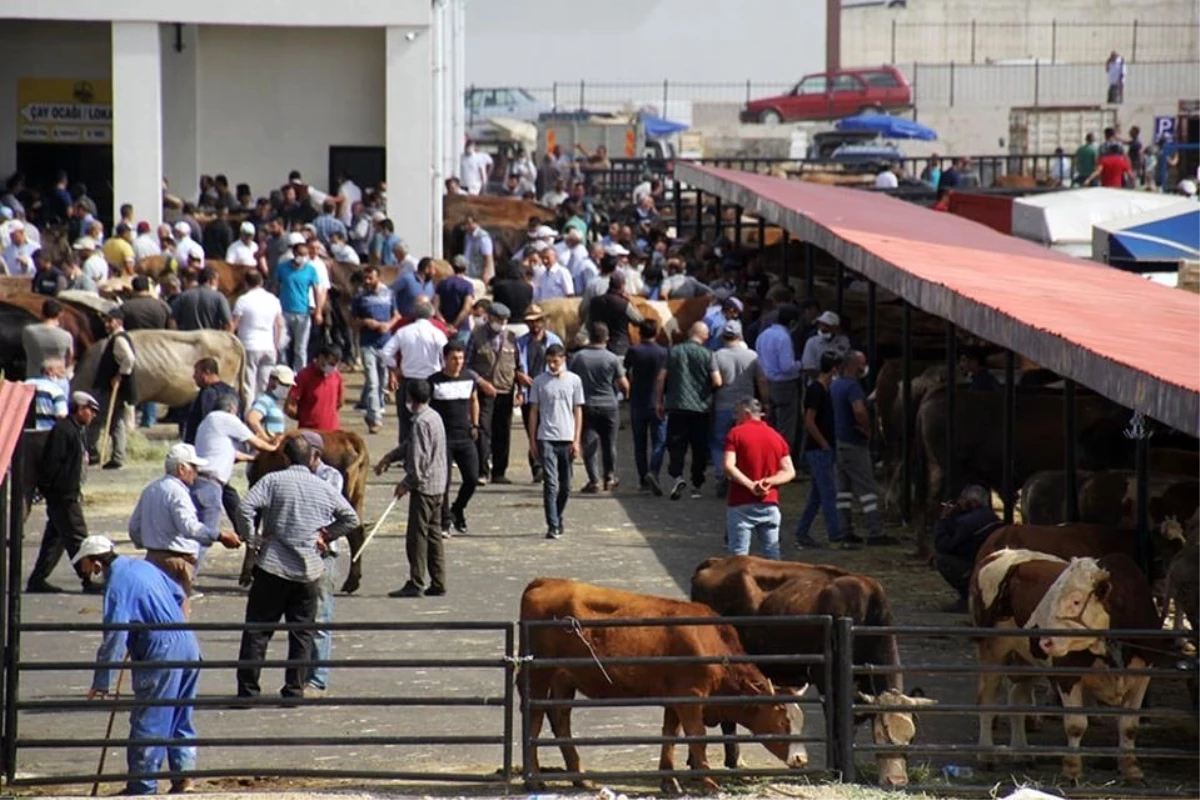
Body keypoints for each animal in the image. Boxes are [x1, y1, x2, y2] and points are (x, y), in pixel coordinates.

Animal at [518, 575, 806, 796]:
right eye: (783, 722)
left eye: (800, 721)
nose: (802, 759)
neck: (709, 641)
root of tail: (545, 581)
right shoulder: (691, 697)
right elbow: (697, 738)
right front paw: (709, 783)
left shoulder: (675, 698)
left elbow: (670, 736)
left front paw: (669, 781)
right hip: (539, 675)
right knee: (534, 719)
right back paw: (535, 780)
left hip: (564, 679)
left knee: (560, 720)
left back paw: (580, 777)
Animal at [691, 556, 931, 786]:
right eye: (880, 734)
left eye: (911, 739)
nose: (896, 781)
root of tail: (716, 562)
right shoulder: (826, 679)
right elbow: (837, 723)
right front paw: (837, 770)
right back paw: (730, 761)